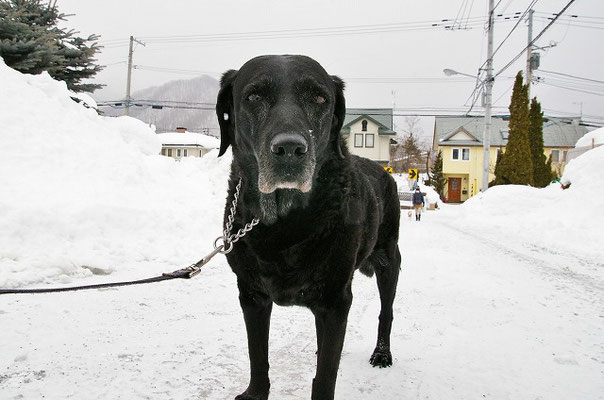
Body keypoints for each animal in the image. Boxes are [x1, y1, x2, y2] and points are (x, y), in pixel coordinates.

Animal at [217, 55, 402, 400]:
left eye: (319, 98)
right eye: (253, 96)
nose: (290, 149)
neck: (285, 222)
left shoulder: (336, 299)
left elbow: (326, 376)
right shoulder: (251, 294)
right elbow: (257, 356)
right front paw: (255, 393)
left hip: (388, 260)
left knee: (387, 311)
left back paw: (382, 353)